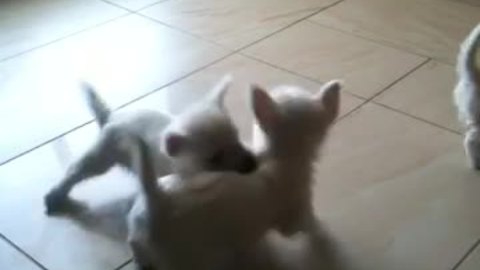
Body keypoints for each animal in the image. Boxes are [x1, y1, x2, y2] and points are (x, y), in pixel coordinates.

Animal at [43, 76, 256, 215]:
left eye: (237, 138)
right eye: (214, 159)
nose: (252, 164)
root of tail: (111, 117)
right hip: (102, 155)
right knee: (77, 171)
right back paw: (56, 195)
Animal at [131, 80, 342, 270]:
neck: (282, 156)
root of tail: (157, 198)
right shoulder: (295, 213)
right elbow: (308, 222)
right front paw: (321, 231)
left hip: (141, 234)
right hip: (189, 256)